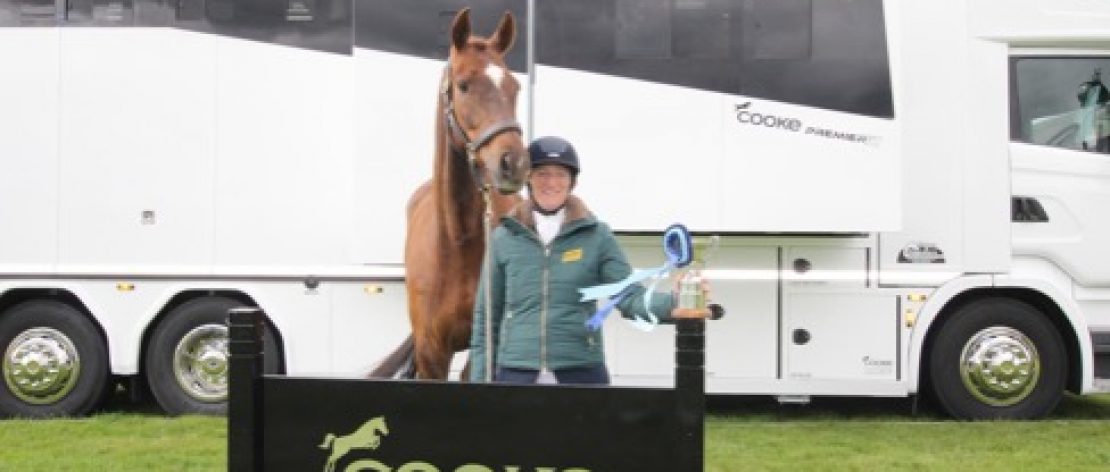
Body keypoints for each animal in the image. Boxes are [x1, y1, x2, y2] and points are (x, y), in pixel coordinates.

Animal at [368, 9, 528, 379]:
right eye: (463, 85)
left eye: (514, 86)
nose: (514, 163)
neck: (456, 242)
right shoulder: (432, 352)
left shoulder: (483, 346)